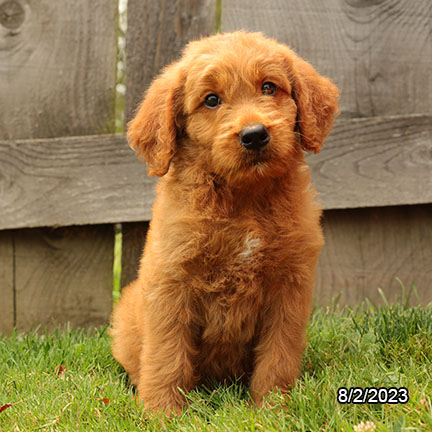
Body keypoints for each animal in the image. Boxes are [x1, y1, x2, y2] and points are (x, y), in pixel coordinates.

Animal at [109, 31, 340, 416]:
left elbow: (278, 355)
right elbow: (166, 353)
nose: (255, 134)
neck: (243, 201)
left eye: (269, 87)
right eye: (212, 100)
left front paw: (272, 409)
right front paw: (162, 412)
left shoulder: (289, 287)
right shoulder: (171, 283)